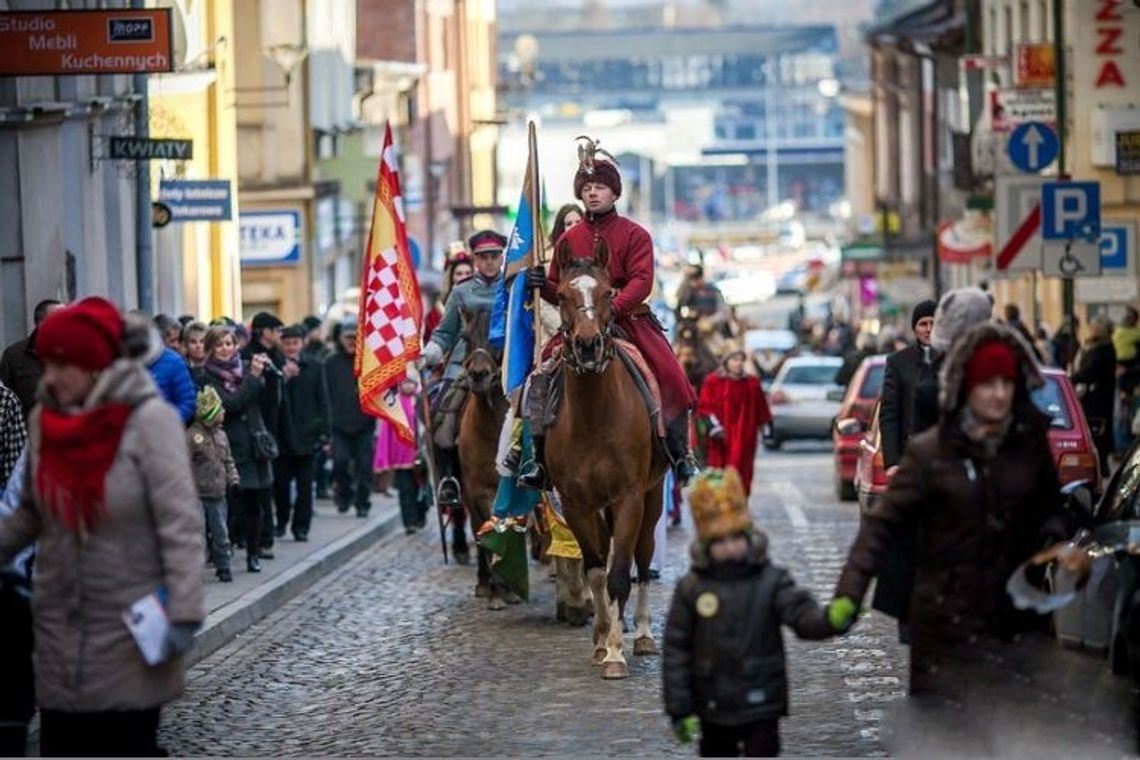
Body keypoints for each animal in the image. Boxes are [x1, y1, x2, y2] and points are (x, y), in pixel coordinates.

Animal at [542, 235, 665, 679]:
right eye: (561, 294)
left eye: (609, 292)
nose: (588, 345)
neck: (594, 416)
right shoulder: (576, 503)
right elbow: (596, 572)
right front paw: (600, 642)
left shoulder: (629, 497)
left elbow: (618, 576)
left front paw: (615, 653)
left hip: (652, 496)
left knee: (641, 560)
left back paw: (642, 634)